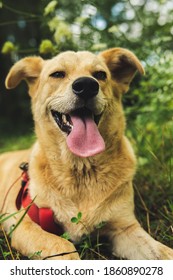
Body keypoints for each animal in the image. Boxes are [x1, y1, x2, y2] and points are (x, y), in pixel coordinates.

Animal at [0, 48, 173, 260]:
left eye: (100, 75)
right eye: (57, 74)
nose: (86, 86)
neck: (81, 171)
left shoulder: (125, 228)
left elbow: (162, 252)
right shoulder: (23, 223)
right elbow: (62, 245)